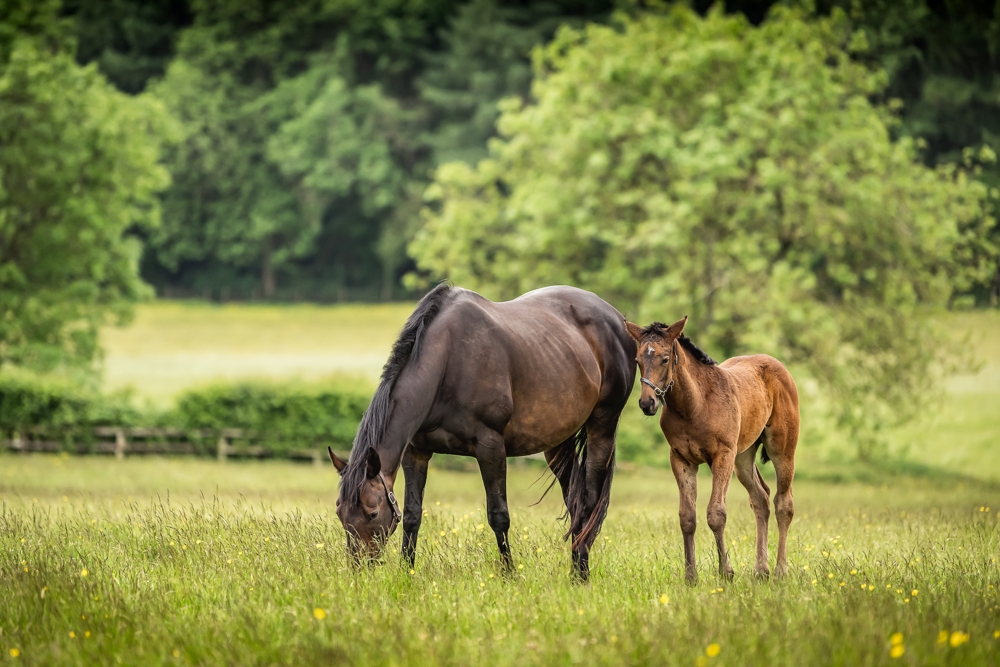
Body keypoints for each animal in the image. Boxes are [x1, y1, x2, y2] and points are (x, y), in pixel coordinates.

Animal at [328, 284, 636, 580]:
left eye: (372, 513)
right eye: (340, 513)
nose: (358, 570)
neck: (447, 362)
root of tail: (616, 318)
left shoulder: (490, 447)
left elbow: (499, 515)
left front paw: (510, 576)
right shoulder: (416, 453)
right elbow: (413, 515)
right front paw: (407, 574)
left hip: (602, 425)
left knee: (588, 501)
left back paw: (581, 574)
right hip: (557, 442)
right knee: (574, 502)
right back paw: (575, 570)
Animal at [623, 316, 799, 582]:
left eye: (665, 358)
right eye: (637, 360)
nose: (647, 403)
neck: (694, 405)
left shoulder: (722, 456)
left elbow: (716, 514)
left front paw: (726, 572)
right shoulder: (681, 460)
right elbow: (687, 517)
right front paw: (691, 577)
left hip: (782, 450)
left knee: (783, 503)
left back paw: (780, 571)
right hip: (743, 457)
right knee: (760, 498)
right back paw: (761, 570)